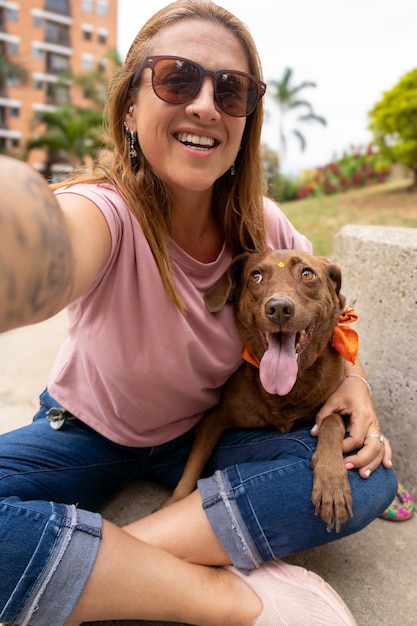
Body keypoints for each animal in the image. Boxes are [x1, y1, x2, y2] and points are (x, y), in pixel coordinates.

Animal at [162, 249, 354, 532]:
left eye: (307, 274)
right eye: (256, 276)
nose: (279, 309)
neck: (288, 390)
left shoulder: (338, 402)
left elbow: (331, 421)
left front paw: (332, 483)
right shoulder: (215, 418)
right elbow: (193, 465)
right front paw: (175, 500)